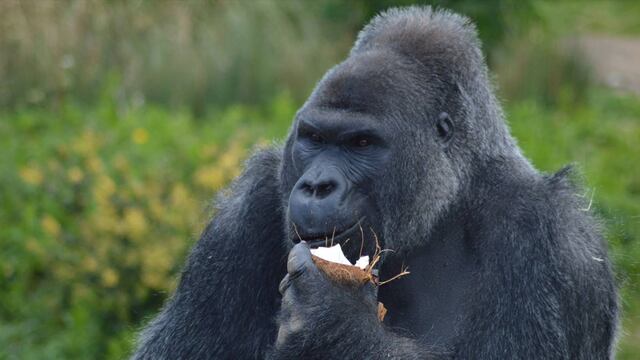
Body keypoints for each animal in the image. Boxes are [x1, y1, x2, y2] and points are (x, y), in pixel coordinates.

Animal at [134, 6, 620, 360]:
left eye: (362, 143)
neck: (444, 208)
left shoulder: (550, 236)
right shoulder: (244, 212)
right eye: (314, 138)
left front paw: (334, 322)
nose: (317, 185)